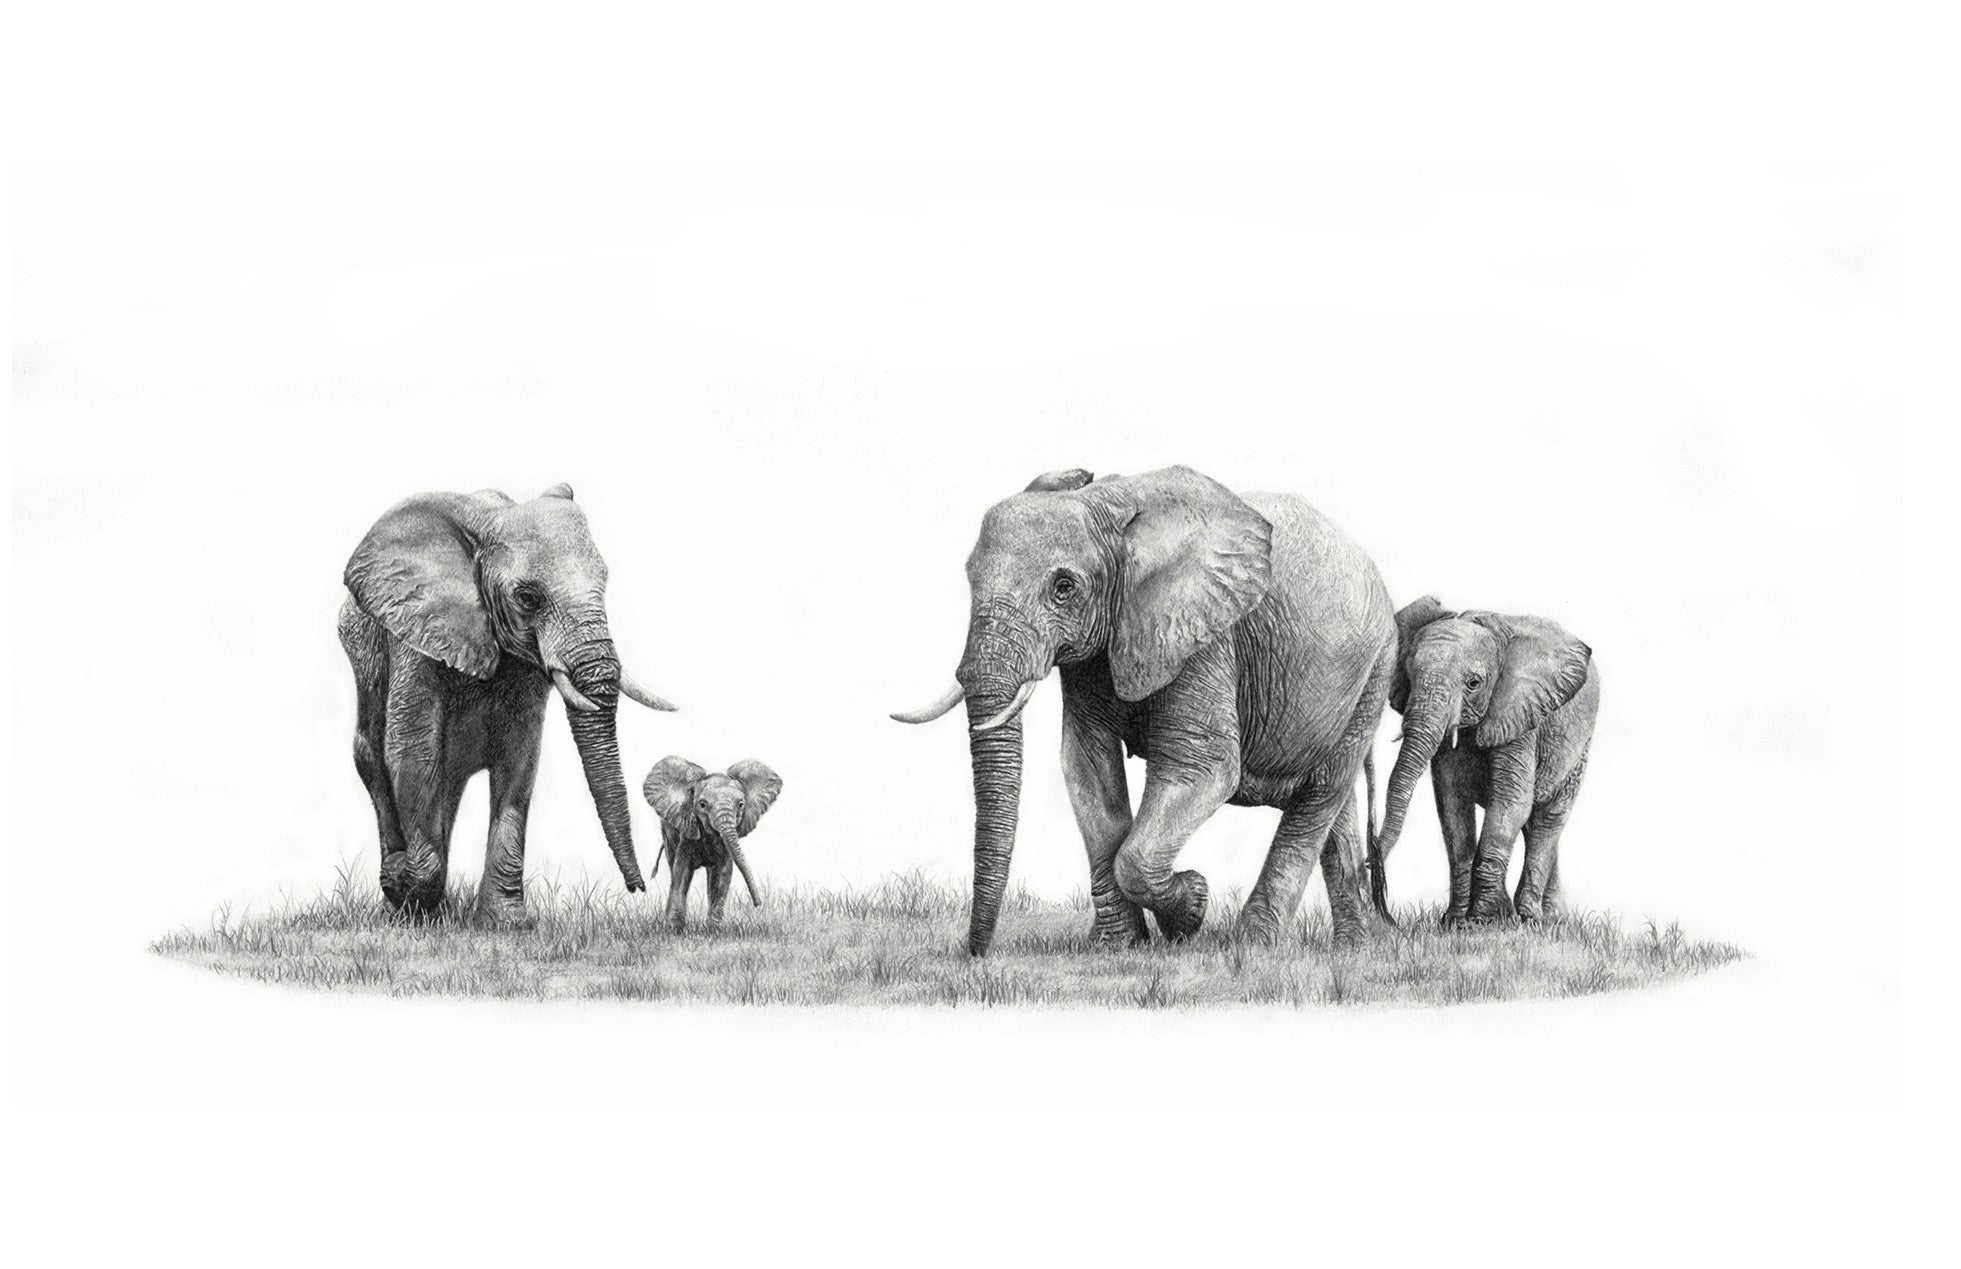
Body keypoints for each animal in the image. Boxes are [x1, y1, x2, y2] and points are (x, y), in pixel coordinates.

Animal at [337, 483, 677, 925]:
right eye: (528, 598)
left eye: (605, 582)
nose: (640, 887)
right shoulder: (416, 630)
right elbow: (412, 749)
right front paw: (402, 885)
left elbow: (520, 756)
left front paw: (507, 923)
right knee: (374, 759)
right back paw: (403, 908)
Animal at [642, 756, 784, 928]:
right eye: (702, 804)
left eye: (741, 805)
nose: (758, 904)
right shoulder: (687, 831)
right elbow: (682, 871)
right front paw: (675, 930)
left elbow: (722, 874)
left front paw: (713, 930)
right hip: (667, 832)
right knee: (672, 866)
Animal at [894, 465, 1397, 956]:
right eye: (969, 577)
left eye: (1063, 588)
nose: (974, 953)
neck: (1113, 506)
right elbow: (1087, 767)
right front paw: (1118, 947)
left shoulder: (1204, 635)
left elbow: (1201, 768)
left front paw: (1192, 907)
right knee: (1334, 807)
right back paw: (1352, 949)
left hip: (1375, 669)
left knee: (1322, 797)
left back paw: (1255, 947)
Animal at [1367, 596, 1598, 926]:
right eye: (1409, 676)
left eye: (1474, 683)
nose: (1369, 862)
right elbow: (1452, 805)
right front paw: (1455, 923)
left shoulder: (1521, 713)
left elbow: (1510, 803)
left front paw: (1487, 920)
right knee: (1534, 823)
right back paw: (1554, 920)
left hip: (1579, 745)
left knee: (1549, 818)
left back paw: (1532, 918)